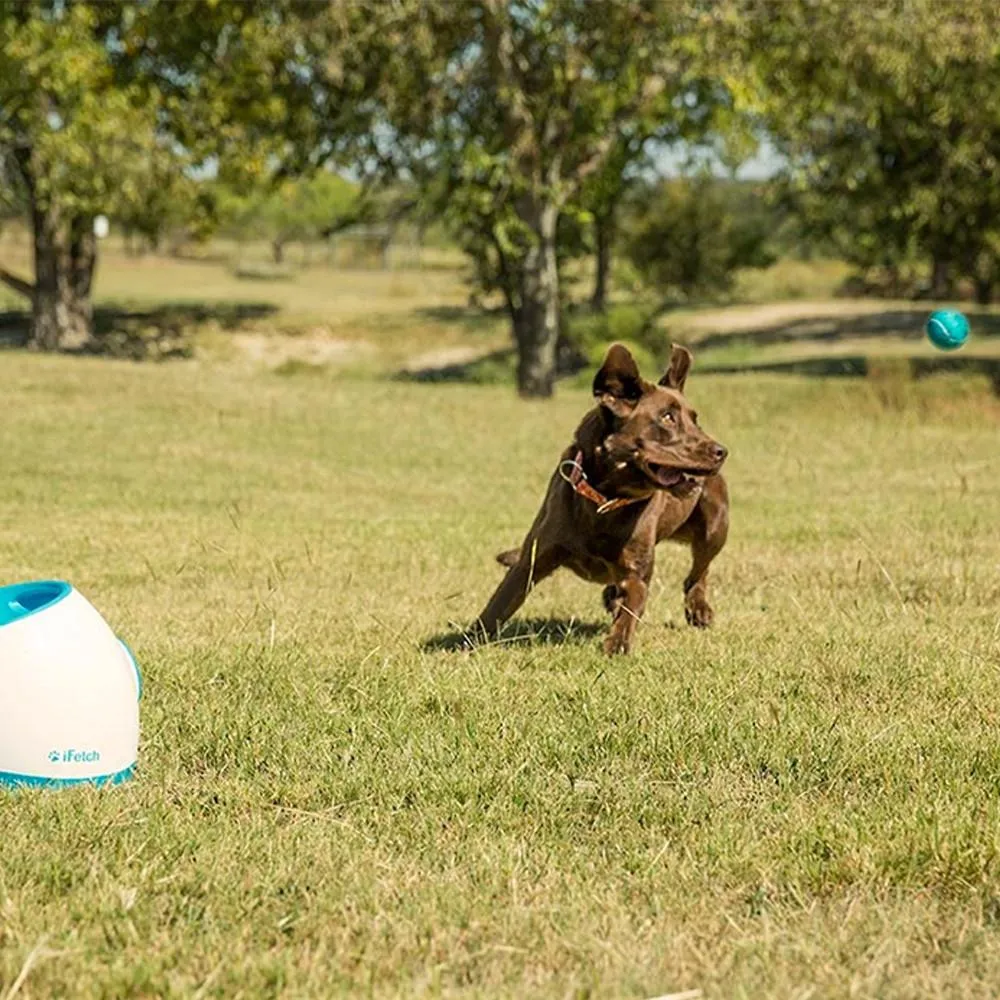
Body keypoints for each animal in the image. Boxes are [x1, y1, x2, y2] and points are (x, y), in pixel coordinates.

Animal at [474, 344, 728, 656]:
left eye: (695, 419)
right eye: (668, 417)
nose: (721, 451)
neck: (604, 500)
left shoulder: (637, 572)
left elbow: (632, 607)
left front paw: (617, 643)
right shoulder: (533, 558)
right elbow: (498, 604)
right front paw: (465, 640)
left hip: (715, 527)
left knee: (698, 571)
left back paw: (698, 607)